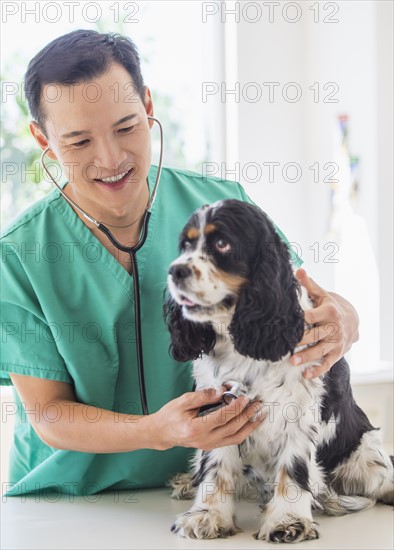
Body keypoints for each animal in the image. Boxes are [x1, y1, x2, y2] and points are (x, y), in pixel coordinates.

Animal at [164, 201, 394, 544]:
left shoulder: (296, 412)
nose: (175, 271)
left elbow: (293, 469)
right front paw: (207, 515)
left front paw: (288, 521)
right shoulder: (219, 408)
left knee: (382, 478)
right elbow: (216, 466)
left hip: (365, 455)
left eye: (223, 244)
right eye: (187, 245)